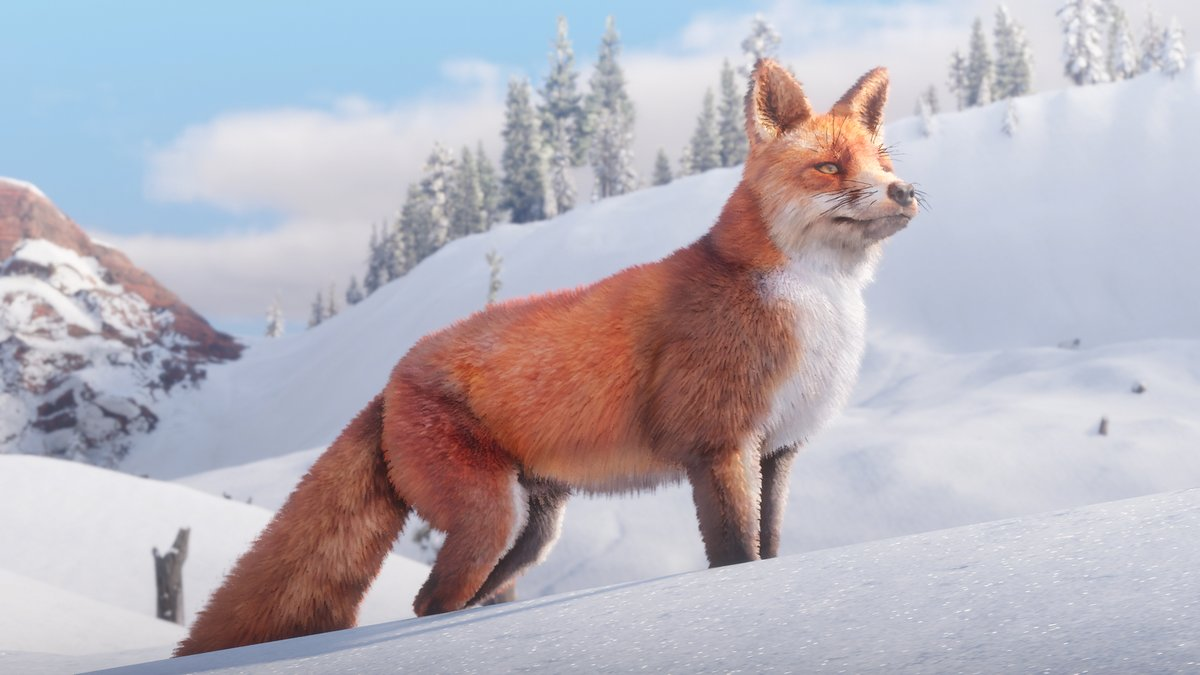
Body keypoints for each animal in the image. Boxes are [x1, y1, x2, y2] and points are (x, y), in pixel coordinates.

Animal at [175, 59, 919, 656]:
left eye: (883, 162)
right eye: (829, 167)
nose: (905, 190)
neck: (811, 308)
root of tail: (391, 379)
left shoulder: (778, 452)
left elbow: (770, 551)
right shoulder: (719, 445)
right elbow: (736, 556)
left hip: (531, 532)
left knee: (449, 600)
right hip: (491, 519)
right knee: (428, 603)